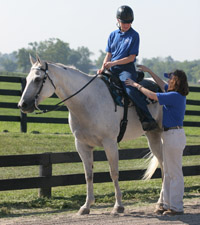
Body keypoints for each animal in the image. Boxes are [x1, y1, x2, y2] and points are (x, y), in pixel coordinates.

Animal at [18, 55, 163, 214]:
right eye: (27, 79)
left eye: (38, 79)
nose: (22, 105)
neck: (88, 100)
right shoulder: (82, 145)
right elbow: (88, 175)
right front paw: (86, 206)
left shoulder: (110, 143)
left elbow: (114, 173)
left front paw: (118, 205)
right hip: (152, 136)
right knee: (162, 165)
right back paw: (161, 203)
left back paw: (162, 203)